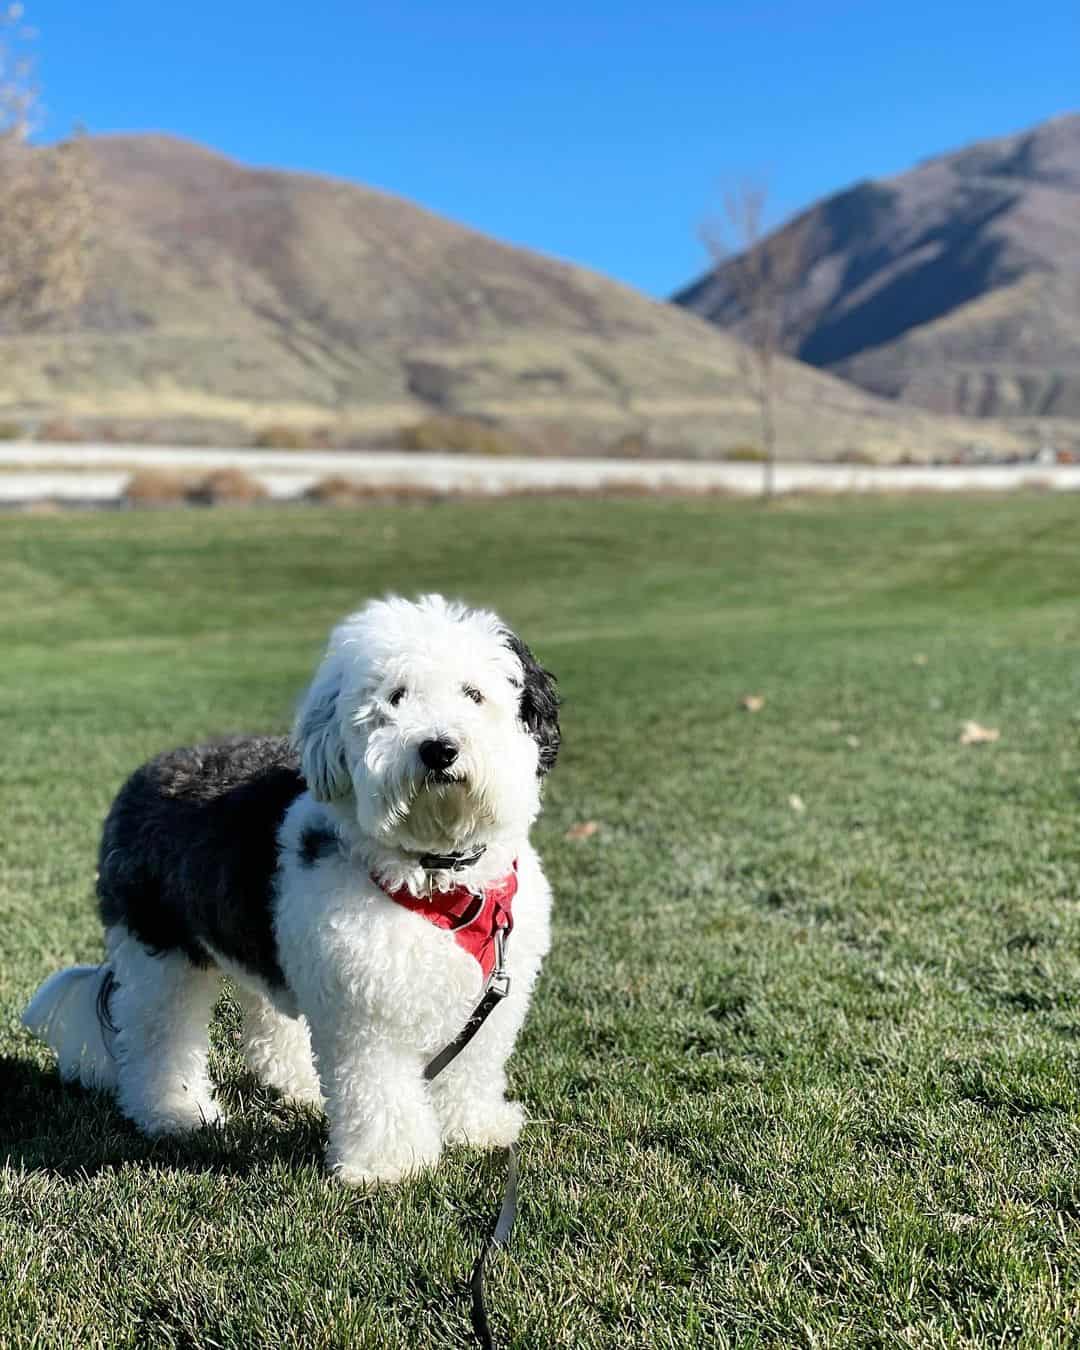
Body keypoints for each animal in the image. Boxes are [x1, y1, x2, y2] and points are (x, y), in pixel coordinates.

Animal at [25, 596, 561, 1188]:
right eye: (394, 698)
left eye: (474, 694)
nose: (439, 749)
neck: (437, 882)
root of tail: (144, 775)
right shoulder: (364, 1012)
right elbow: (380, 1088)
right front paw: (387, 1164)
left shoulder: (488, 999)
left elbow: (473, 1067)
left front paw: (477, 1129)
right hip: (158, 950)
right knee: (157, 1034)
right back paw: (175, 1111)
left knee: (267, 1014)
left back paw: (296, 1086)